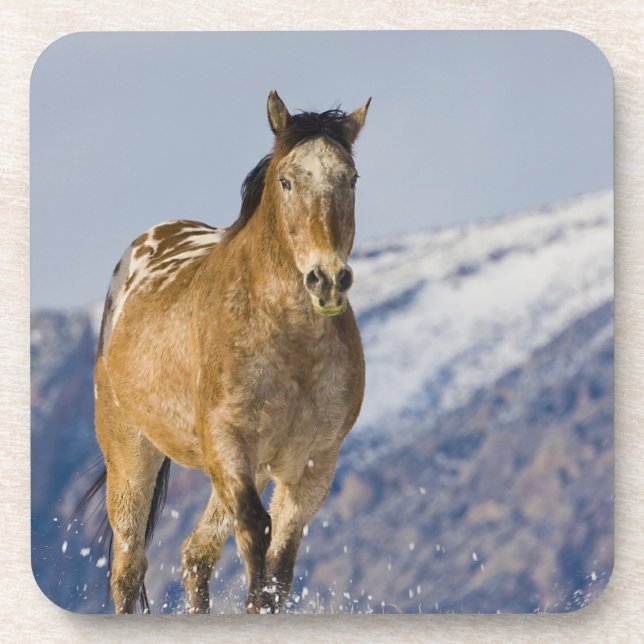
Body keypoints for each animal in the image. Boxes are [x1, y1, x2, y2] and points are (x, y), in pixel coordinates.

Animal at [90, 90, 370, 614]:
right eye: (286, 180)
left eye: (351, 178)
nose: (327, 280)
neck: (291, 348)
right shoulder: (229, 445)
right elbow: (257, 535)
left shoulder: (313, 464)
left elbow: (278, 567)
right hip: (130, 453)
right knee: (128, 568)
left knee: (195, 554)